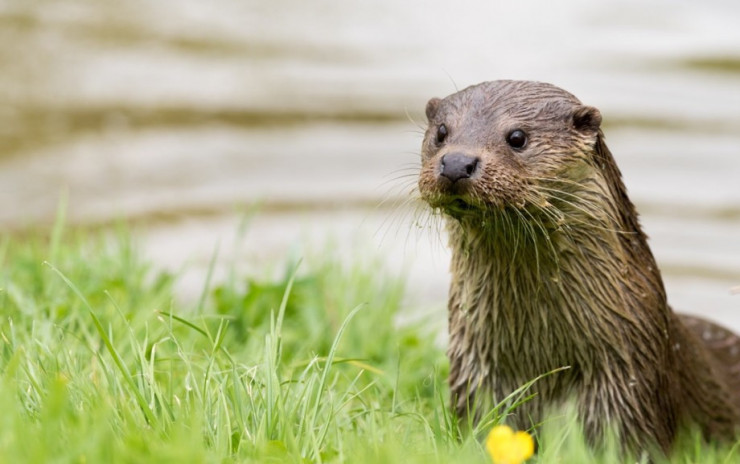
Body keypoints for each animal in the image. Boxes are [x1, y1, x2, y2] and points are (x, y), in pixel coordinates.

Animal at [416, 80, 740, 454]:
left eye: (517, 137)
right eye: (442, 132)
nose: (457, 162)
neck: (541, 357)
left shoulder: (627, 387)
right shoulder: (476, 373)